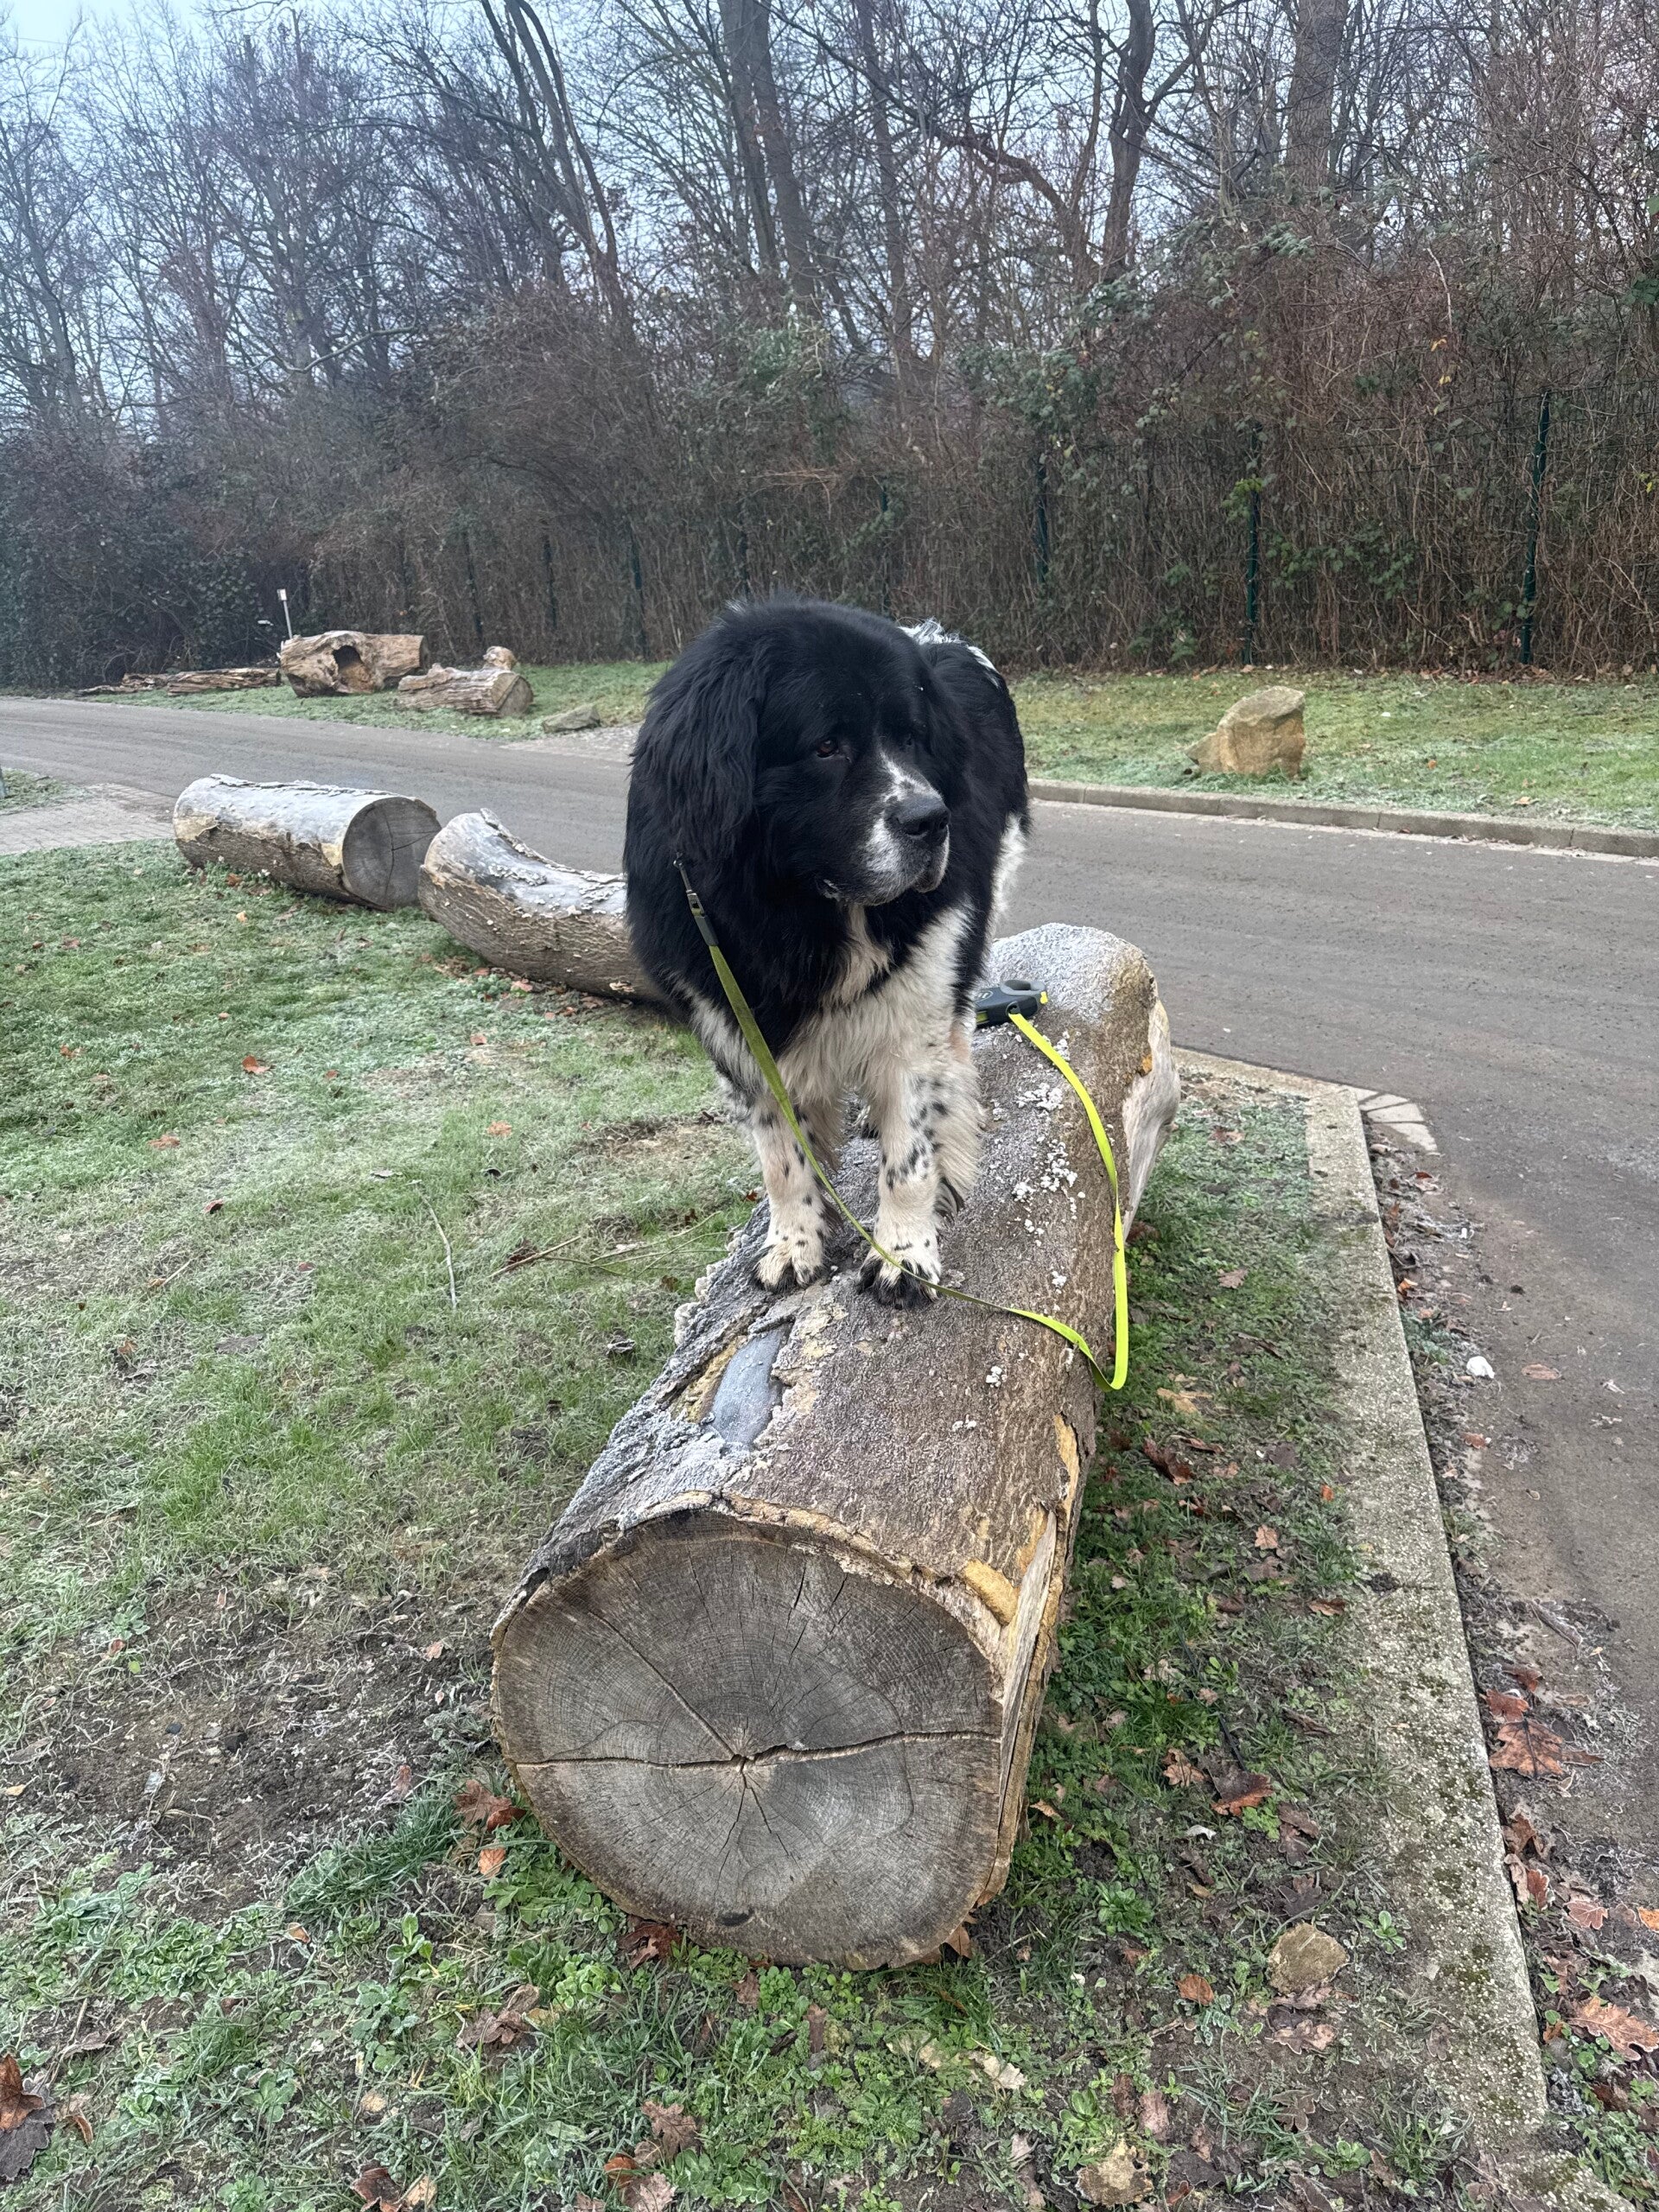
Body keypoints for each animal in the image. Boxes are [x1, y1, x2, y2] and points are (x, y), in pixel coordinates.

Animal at [624, 596, 1029, 1306]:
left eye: (913, 739)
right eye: (826, 746)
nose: (933, 820)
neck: (803, 912)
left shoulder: (916, 1005)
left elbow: (910, 1155)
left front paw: (903, 1254)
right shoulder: (736, 1026)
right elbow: (783, 1160)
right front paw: (794, 1246)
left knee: (955, 1036)